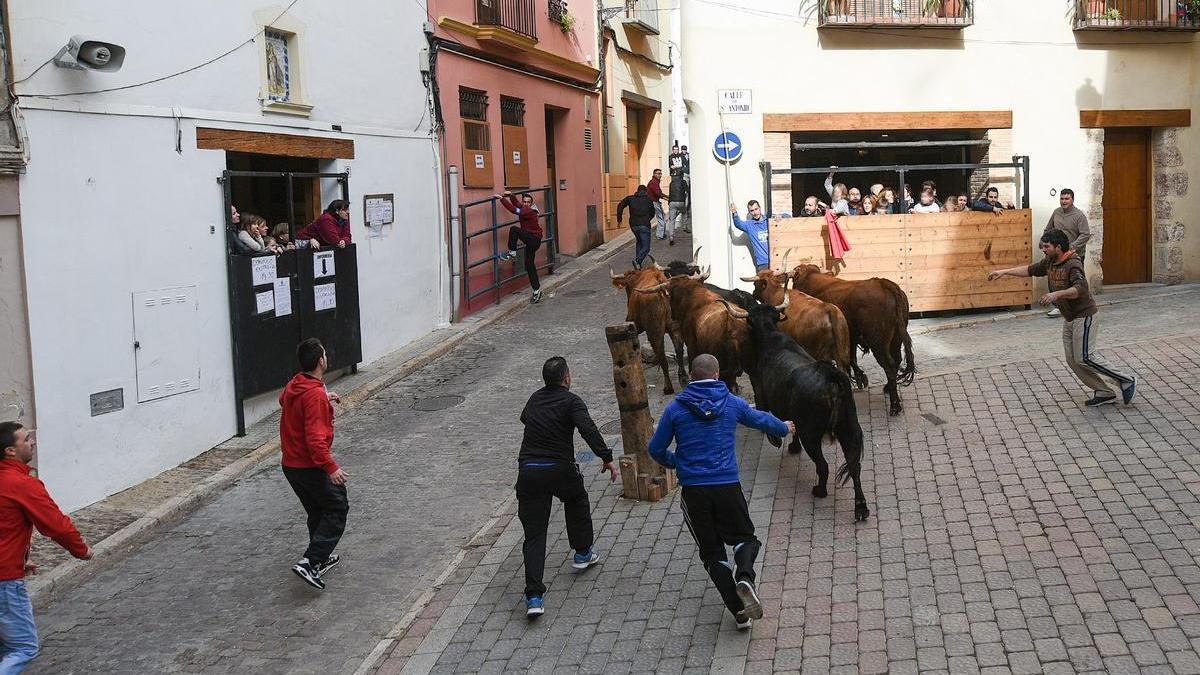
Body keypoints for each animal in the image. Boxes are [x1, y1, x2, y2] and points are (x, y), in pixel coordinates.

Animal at [792, 264, 912, 415]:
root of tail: (883, 283)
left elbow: (849, 359)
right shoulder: (851, 337)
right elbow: (851, 358)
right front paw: (860, 378)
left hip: (878, 343)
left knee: (889, 365)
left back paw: (895, 405)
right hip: (895, 339)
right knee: (896, 360)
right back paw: (887, 388)